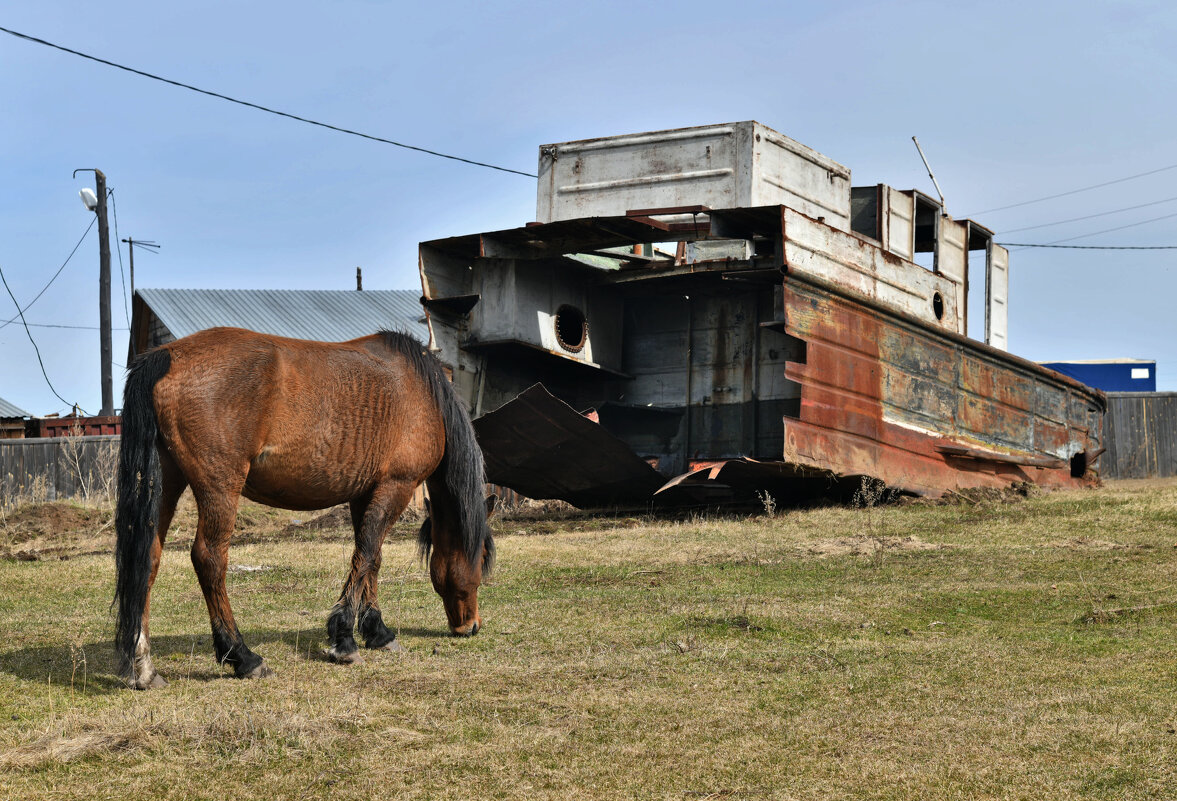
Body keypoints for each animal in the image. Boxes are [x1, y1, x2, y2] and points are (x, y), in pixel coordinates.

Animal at [112, 324, 494, 686]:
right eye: (482, 560)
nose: (471, 626)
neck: (422, 391)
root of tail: (166, 357)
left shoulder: (365, 494)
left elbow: (371, 558)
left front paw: (377, 632)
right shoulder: (396, 486)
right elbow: (367, 554)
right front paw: (344, 639)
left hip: (167, 481)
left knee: (148, 559)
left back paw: (142, 667)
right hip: (219, 487)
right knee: (209, 559)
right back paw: (242, 656)